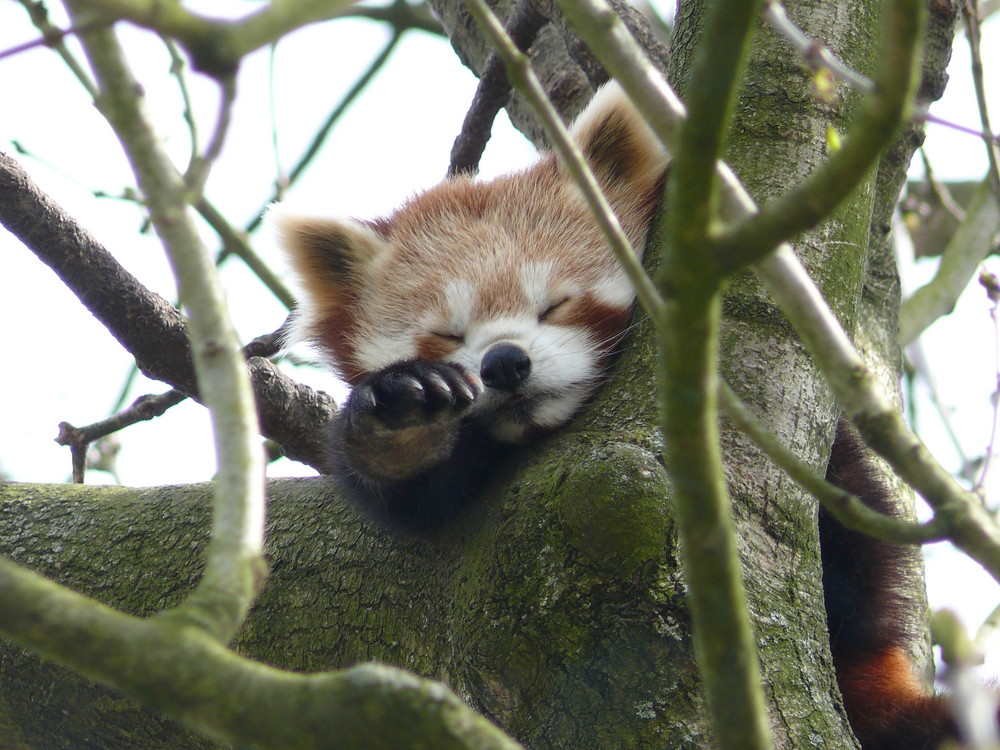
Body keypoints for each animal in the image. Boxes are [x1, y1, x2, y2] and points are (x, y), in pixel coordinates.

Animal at [278, 81, 980, 750]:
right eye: (449, 335)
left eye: (556, 304)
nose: (504, 364)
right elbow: (412, 488)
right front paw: (404, 423)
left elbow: (857, 526)